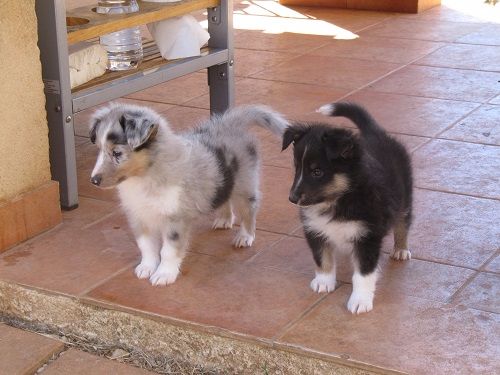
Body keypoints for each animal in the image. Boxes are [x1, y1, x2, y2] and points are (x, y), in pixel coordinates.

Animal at [284, 102, 412, 314]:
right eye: (297, 168)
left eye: (317, 172)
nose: (292, 198)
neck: (338, 199)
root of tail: (375, 133)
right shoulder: (315, 230)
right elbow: (322, 258)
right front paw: (324, 282)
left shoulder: (367, 236)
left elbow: (363, 273)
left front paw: (360, 301)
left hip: (405, 198)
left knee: (403, 223)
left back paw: (401, 249)